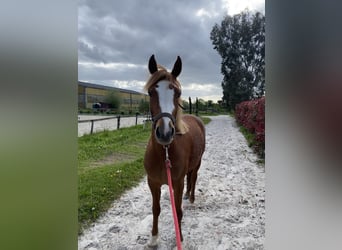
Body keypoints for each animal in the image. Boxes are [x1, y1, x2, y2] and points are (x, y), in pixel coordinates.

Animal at [144, 55, 206, 246]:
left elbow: (177, 210)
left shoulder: (177, 183)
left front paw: (181, 239)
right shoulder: (153, 182)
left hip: (198, 163)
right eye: (151, 92)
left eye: (177, 93)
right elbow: (155, 209)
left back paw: (191, 199)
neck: (164, 153)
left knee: (193, 178)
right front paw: (154, 238)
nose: (164, 133)